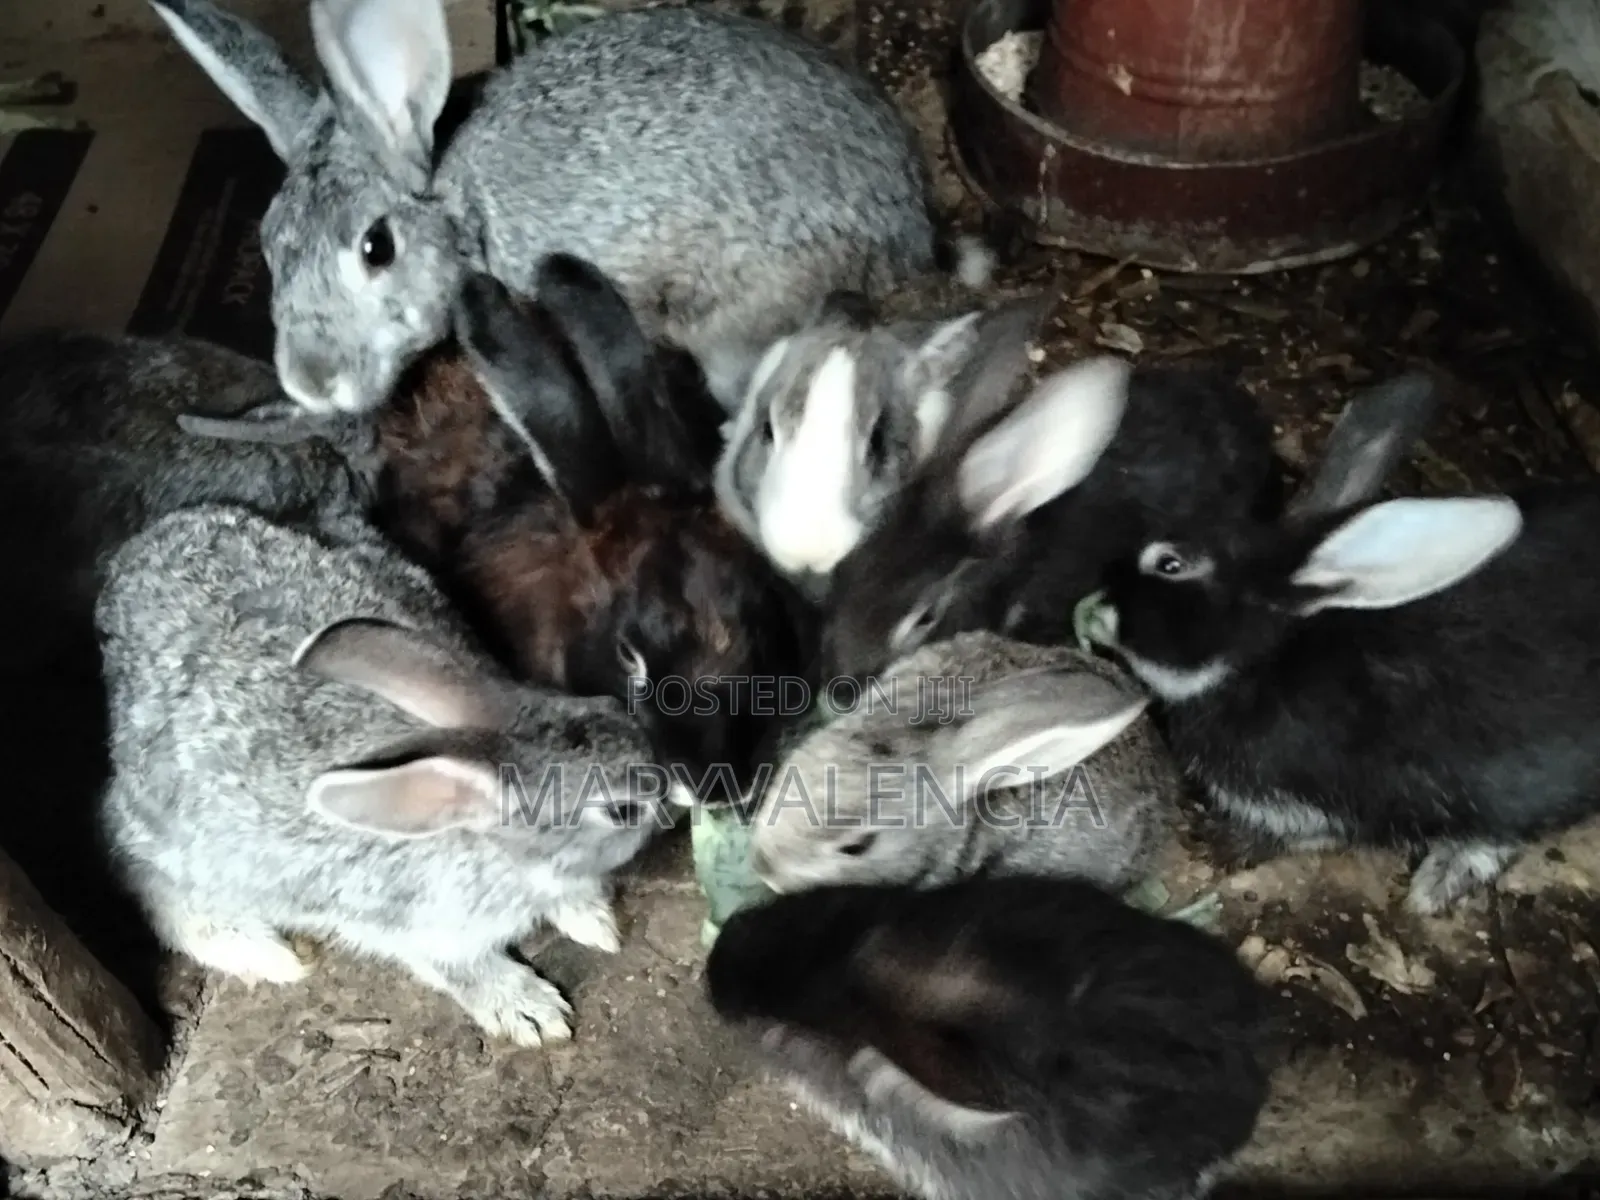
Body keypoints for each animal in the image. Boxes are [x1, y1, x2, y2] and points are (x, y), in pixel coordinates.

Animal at [96, 503, 670, 1045]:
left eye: (608, 706)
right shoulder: (409, 924)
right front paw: (529, 1010)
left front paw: (594, 921)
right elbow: (459, 967)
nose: (670, 786)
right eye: (622, 809)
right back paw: (263, 953)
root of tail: (134, 558)